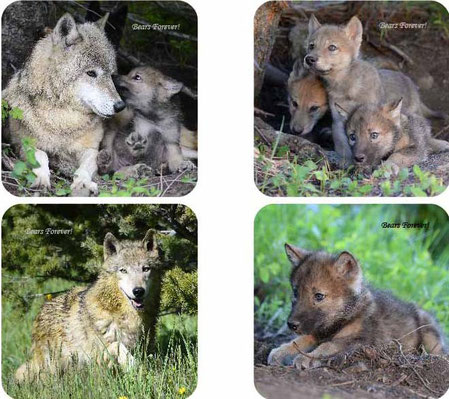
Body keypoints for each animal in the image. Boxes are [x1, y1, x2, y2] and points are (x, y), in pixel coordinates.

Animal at [2, 12, 124, 194]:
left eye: (111, 74)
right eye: (91, 73)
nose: (120, 106)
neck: (64, 121)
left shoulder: (90, 149)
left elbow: (86, 166)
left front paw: (83, 182)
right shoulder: (24, 143)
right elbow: (42, 156)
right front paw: (42, 179)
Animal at [15, 230, 167, 382]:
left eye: (145, 269)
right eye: (123, 270)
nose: (138, 291)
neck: (123, 315)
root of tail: (40, 312)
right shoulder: (99, 350)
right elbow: (120, 347)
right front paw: (136, 369)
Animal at [268, 245, 446, 370]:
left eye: (318, 296)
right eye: (295, 293)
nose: (291, 324)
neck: (345, 317)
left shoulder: (357, 341)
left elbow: (326, 347)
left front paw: (306, 358)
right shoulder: (316, 331)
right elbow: (297, 341)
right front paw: (280, 352)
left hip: (429, 333)